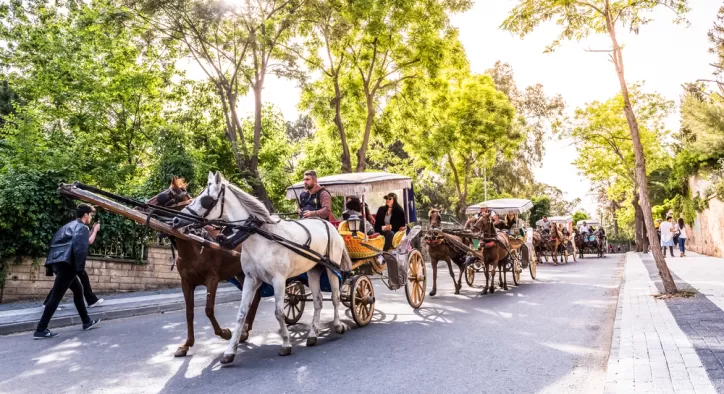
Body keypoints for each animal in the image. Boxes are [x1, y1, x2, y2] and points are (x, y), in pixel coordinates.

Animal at [146, 177, 262, 356]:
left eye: (167, 196)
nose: (143, 204)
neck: (194, 243)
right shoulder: (186, 282)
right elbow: (189, 312)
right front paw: (186, 344)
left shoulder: (212, 279)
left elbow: (208, 309)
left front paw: (225, 333)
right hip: (241, 273)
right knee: (254, 297)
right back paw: (244, 330)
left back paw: (244, 329)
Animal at [170, 172, 350, 366]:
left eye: (206, 199)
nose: (176, 219)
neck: (258, 235)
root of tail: (329, 225)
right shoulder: (251, 278)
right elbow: (241, 314)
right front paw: (230, 350)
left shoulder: (279, 280)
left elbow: (278, 312)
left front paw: (285, 343)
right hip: (313, 270)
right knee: (317, 301)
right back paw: (312, 334)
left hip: (332, 269)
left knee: (335, 297)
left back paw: (338, 325)